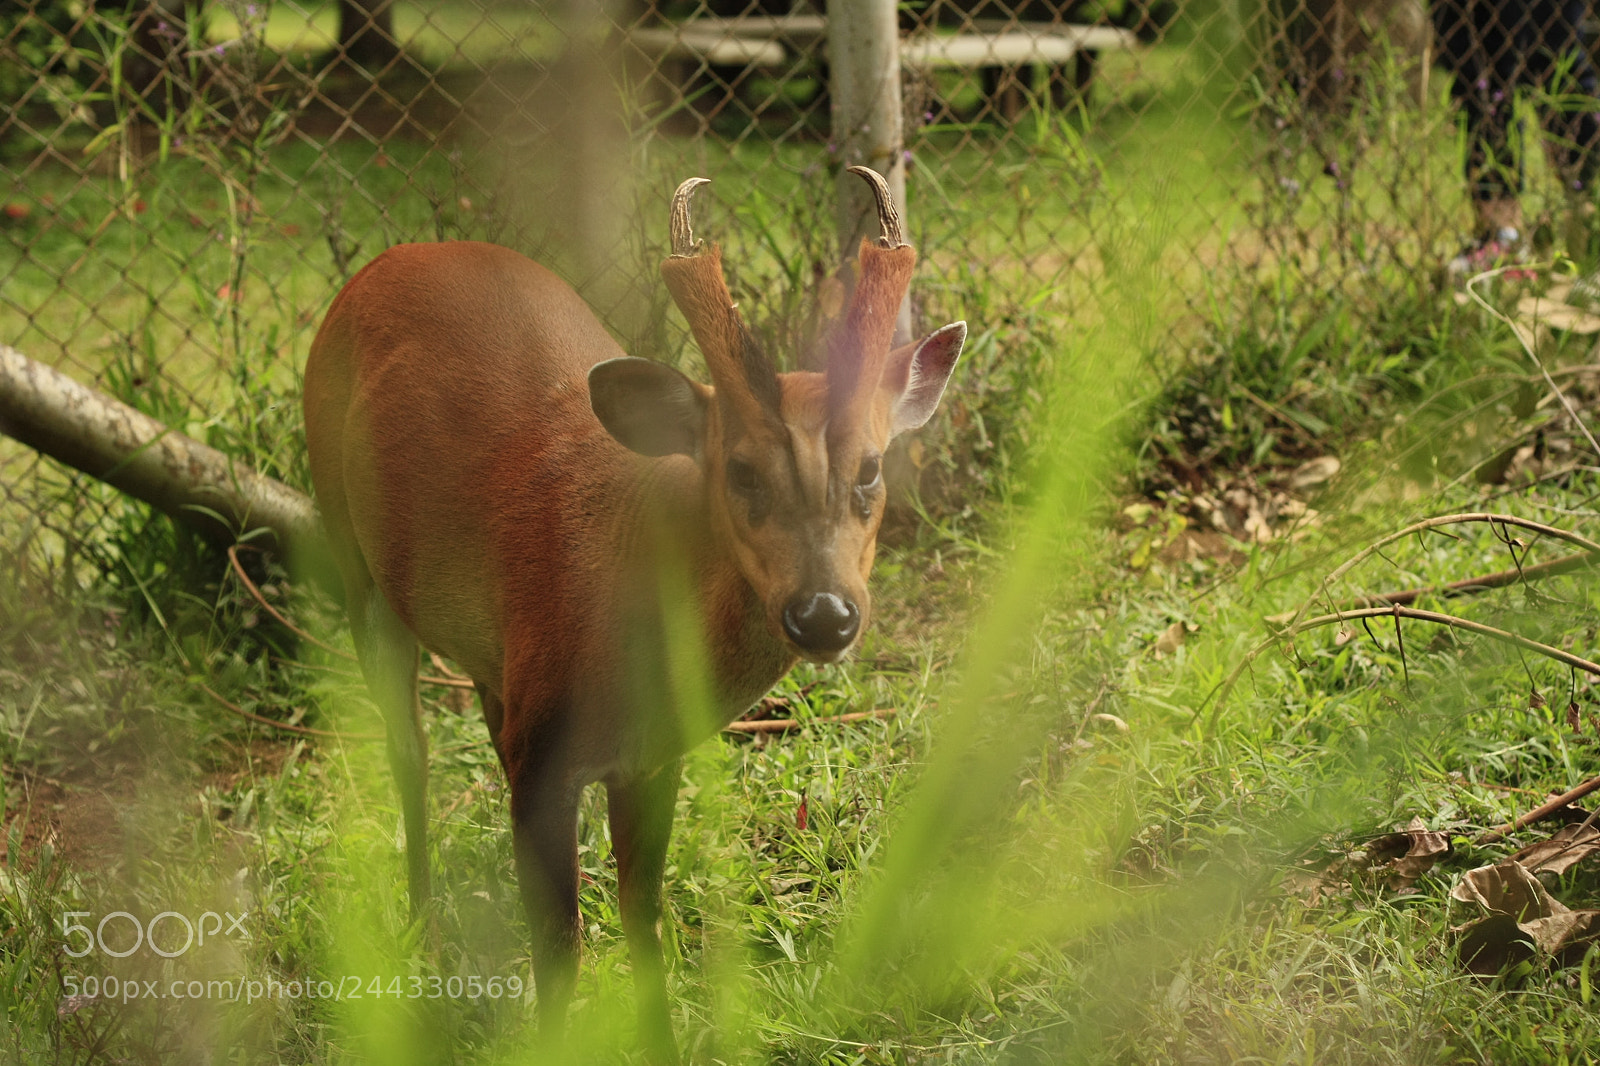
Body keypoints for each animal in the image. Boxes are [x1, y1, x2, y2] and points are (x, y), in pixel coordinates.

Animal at [301, 166, 966, 1059]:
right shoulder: (546, 764)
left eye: (870, 469)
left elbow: (643, 924)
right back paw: (420, 933)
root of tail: (387, 261)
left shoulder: (649, 758)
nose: (825, 613)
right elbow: (560, 956)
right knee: (409, 748)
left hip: (489, 656)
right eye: (741, 472)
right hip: (352, 559)